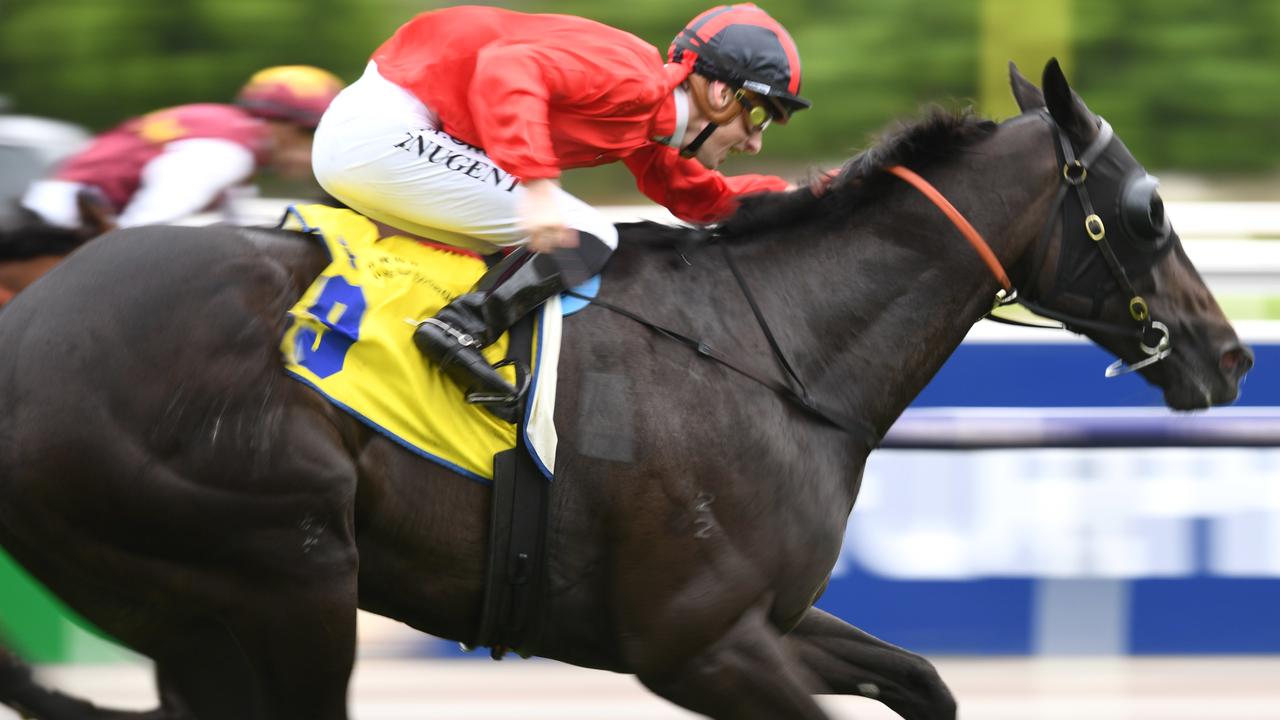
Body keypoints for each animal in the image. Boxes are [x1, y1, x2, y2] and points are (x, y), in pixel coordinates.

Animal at [0, 61, 1249, 717]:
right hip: (278, 571)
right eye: (1147, 211)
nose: (1230, 354)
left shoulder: (756, 621)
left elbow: (923, 682)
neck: (777, 348)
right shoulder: (695, 644)